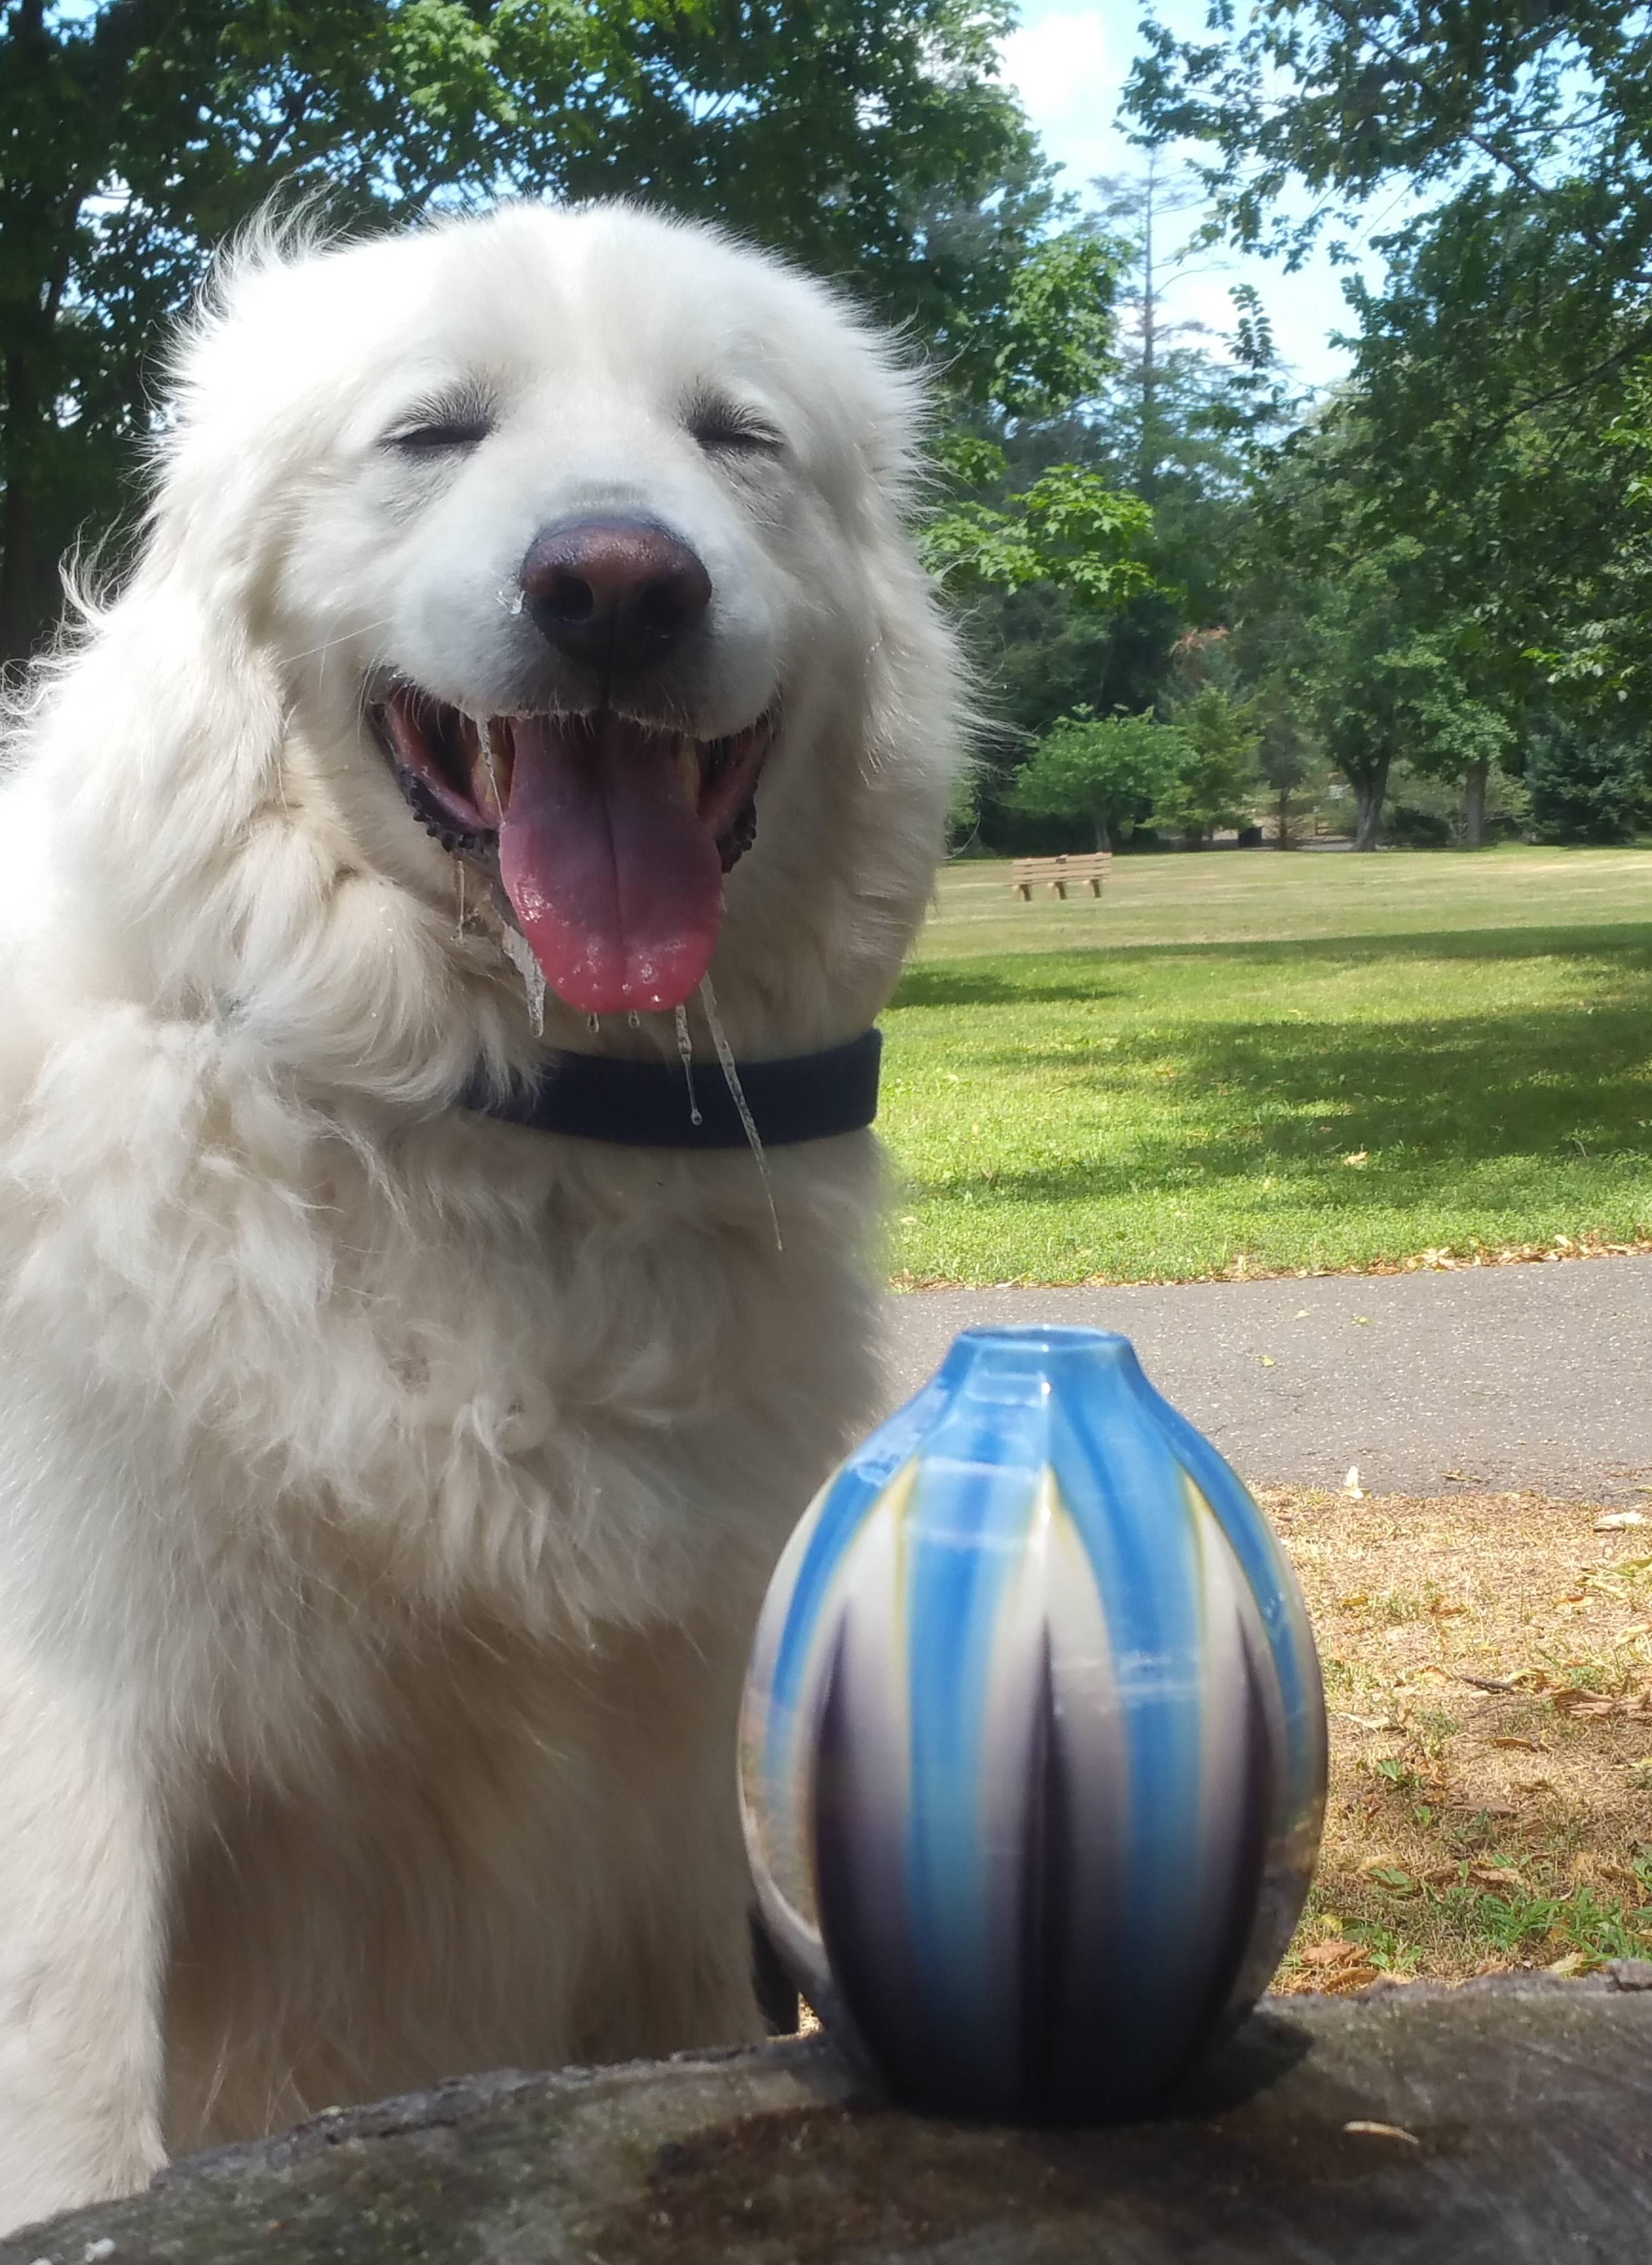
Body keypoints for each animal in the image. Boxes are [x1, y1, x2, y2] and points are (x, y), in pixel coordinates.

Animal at [0, 199, 952, 2229]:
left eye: (731, 437)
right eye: (435, 430)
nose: (616, 587)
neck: (492, 1099)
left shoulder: (659, 1791)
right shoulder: (68, 1753)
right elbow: (84, 2140)